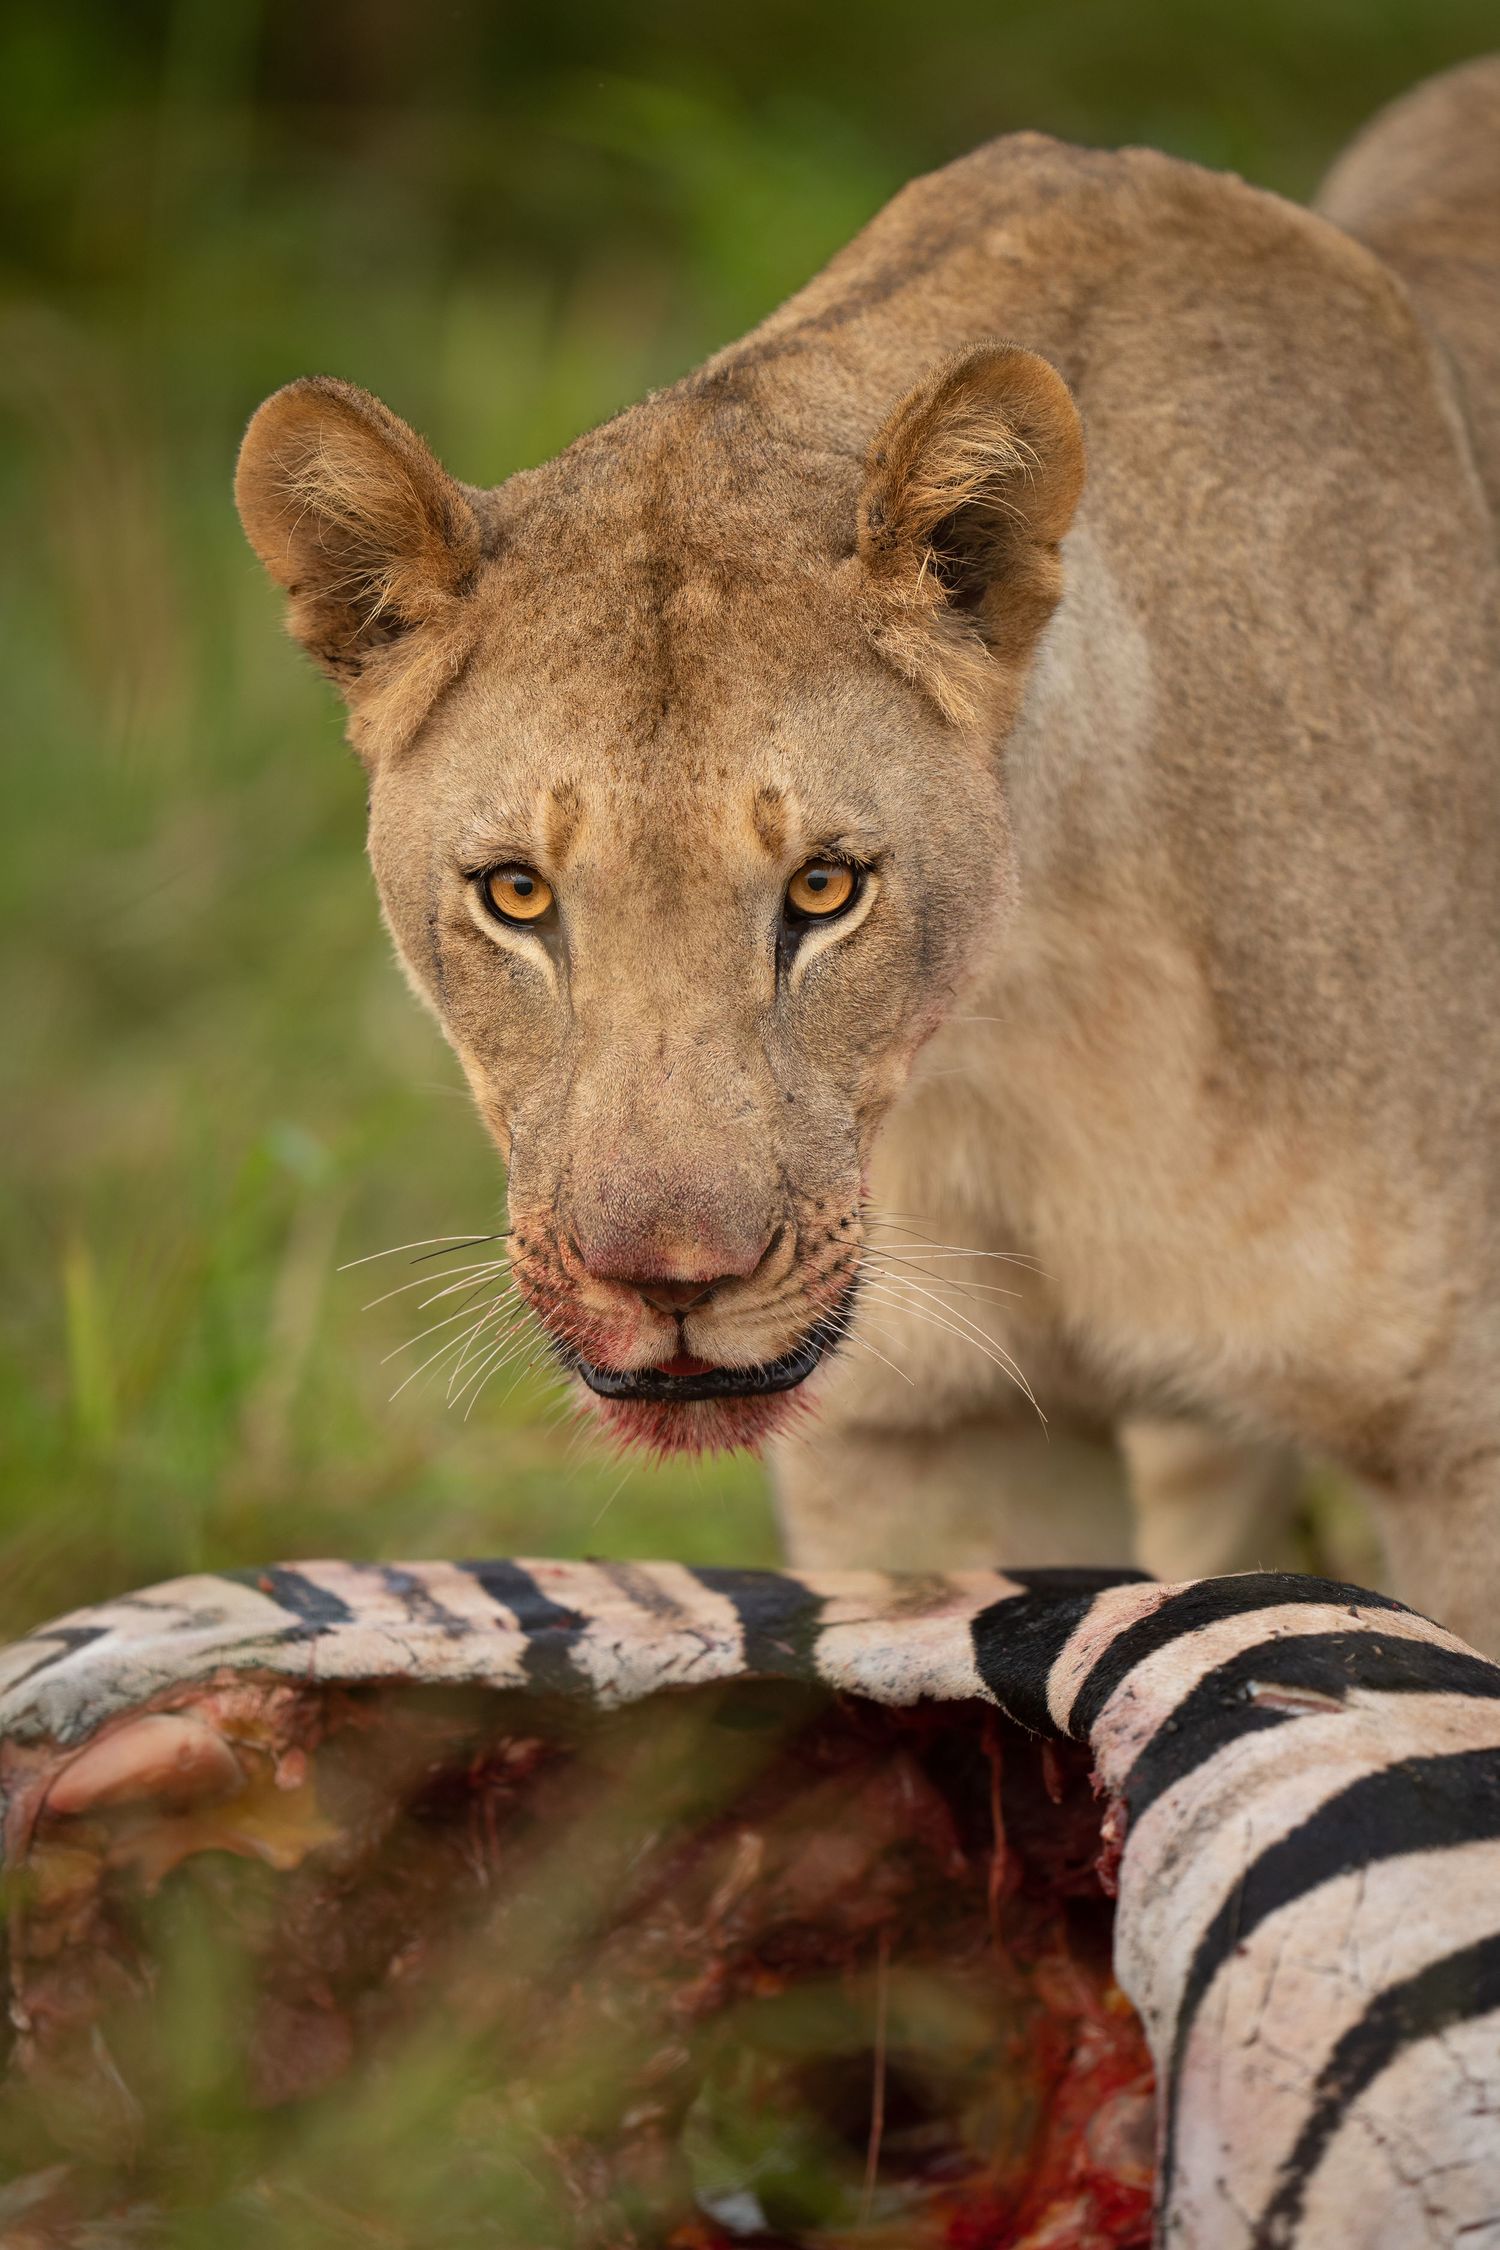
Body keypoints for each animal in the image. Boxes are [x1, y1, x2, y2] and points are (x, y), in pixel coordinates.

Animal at [236, 58, 1500, 1651]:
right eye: (516, 894)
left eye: (825, 889)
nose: (670, 1284)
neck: (1010, 1040)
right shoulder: (924, 1447)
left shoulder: (1462, 1448)